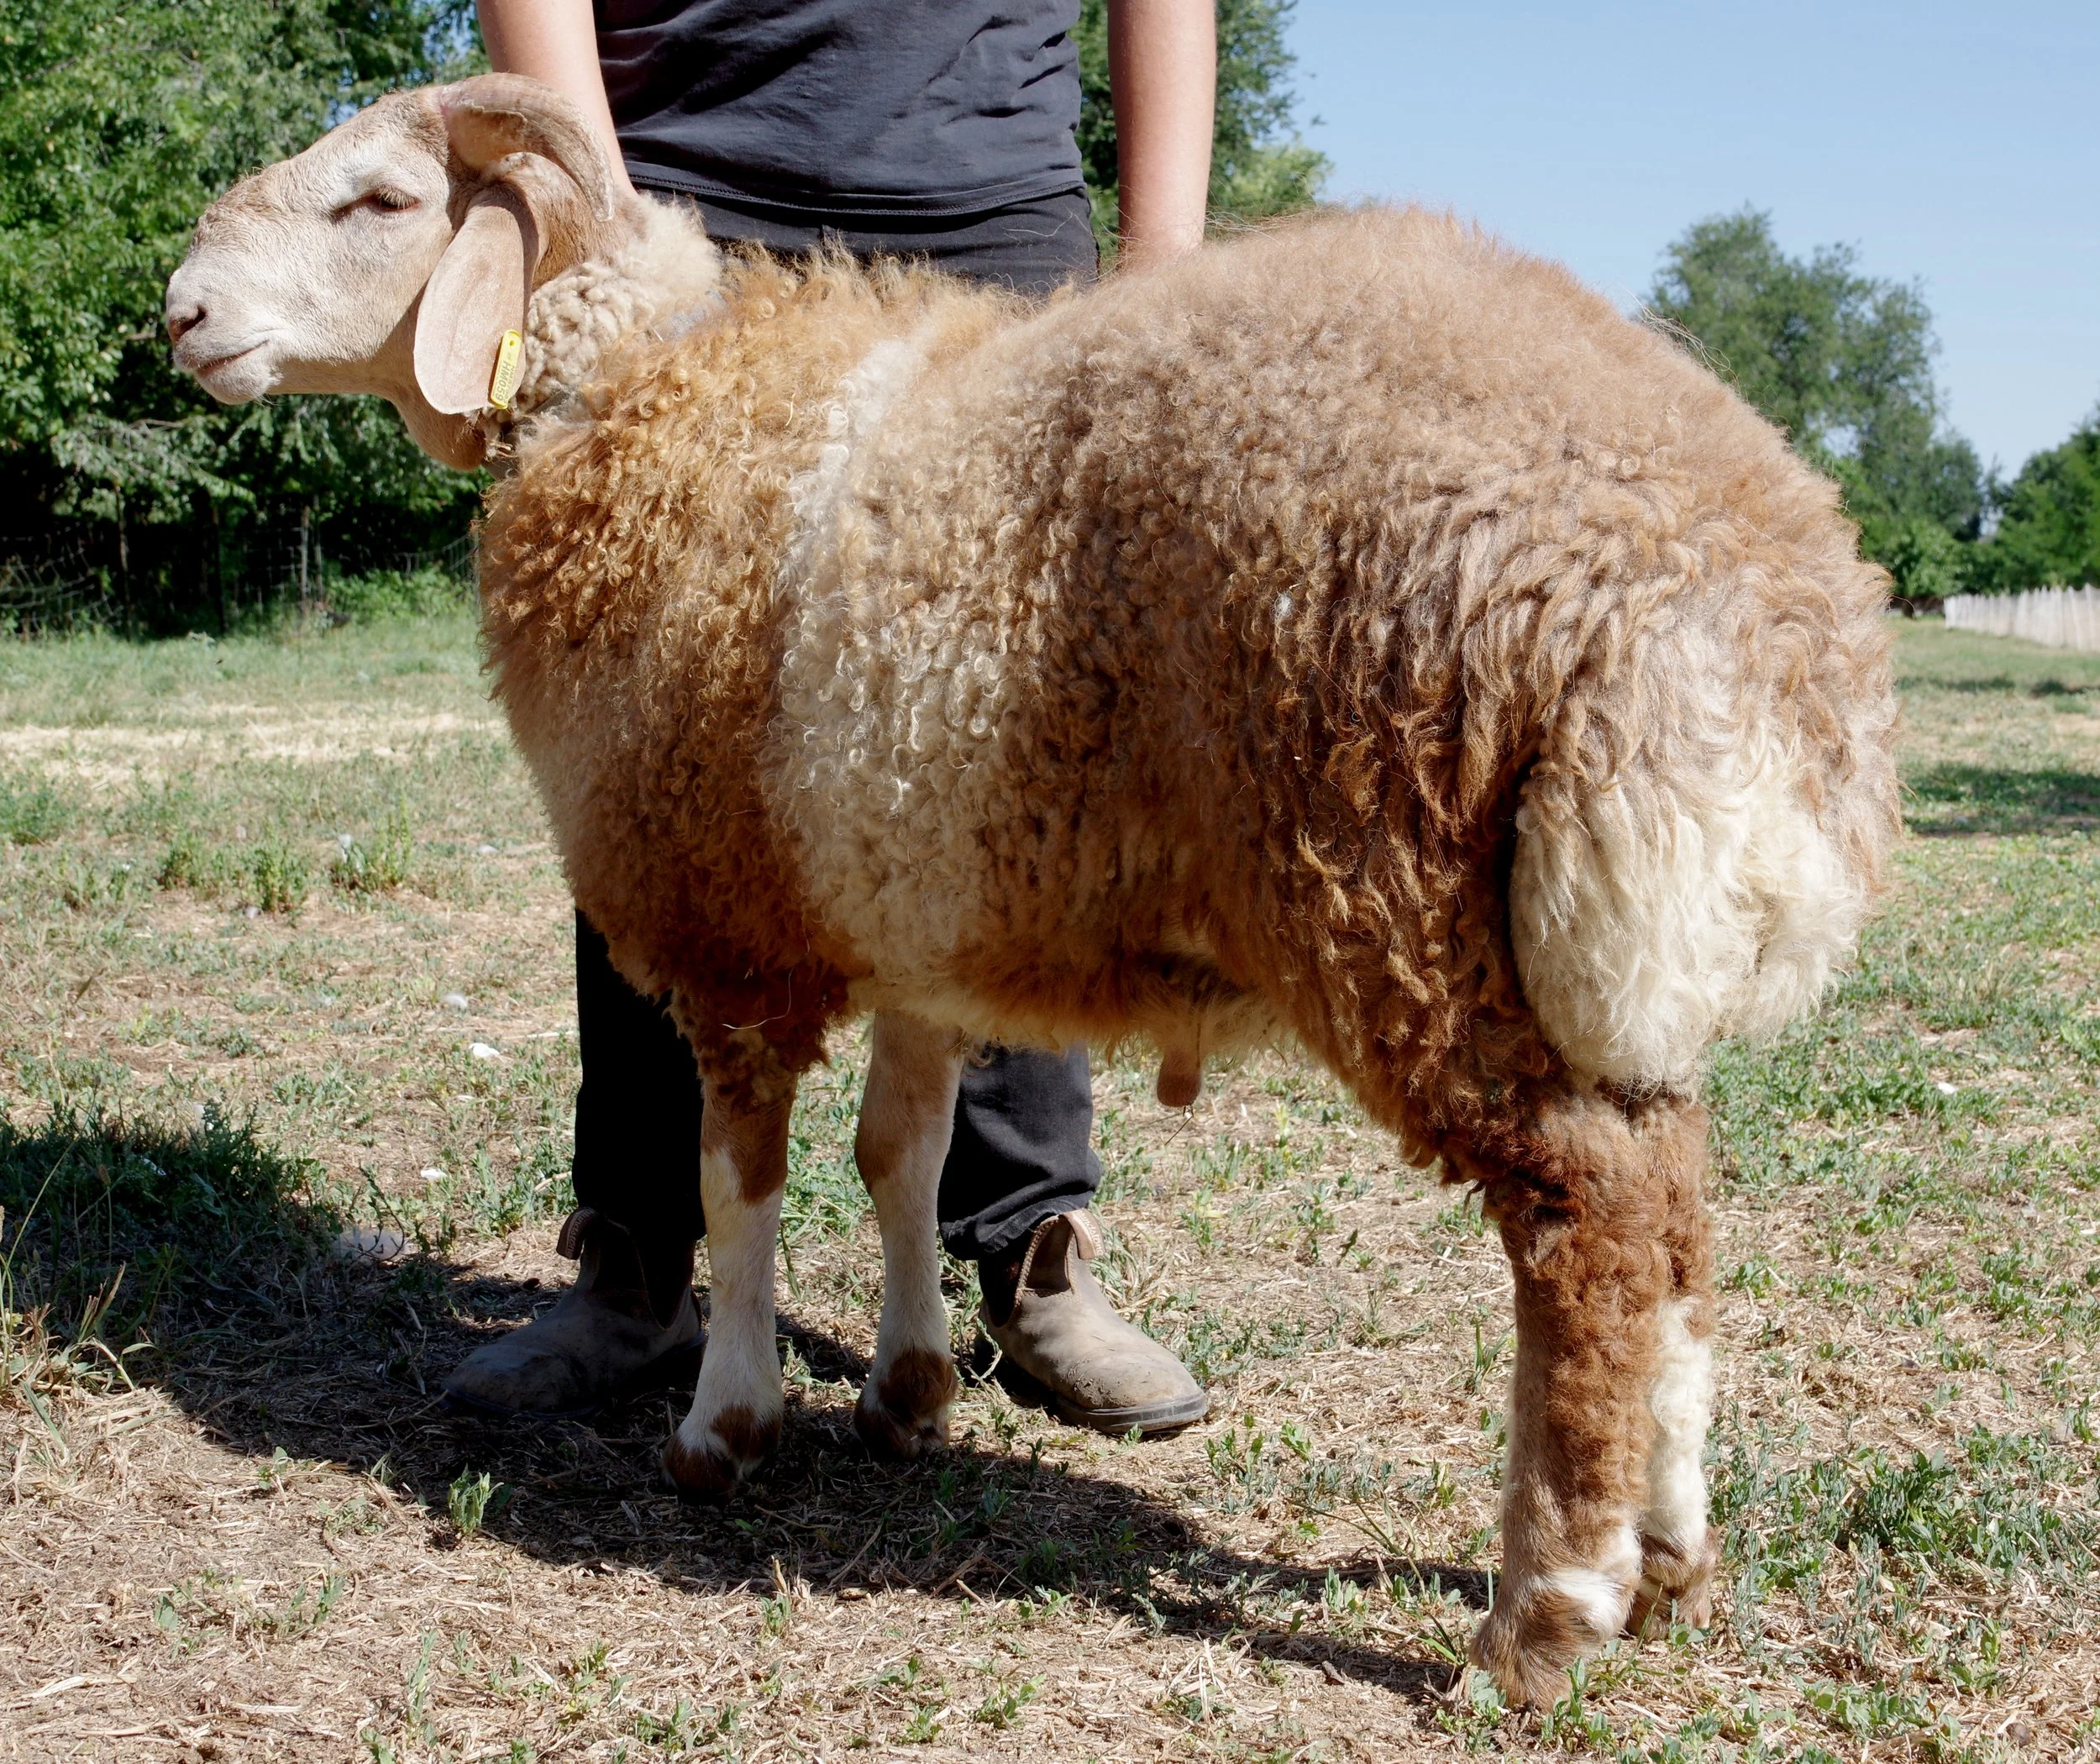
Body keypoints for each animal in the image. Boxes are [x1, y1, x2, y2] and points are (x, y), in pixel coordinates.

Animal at [167, 74, 1901, 1705]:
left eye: (377, 201)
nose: (181, 309)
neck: (640, 402)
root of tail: (1741, 591)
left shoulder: (730, 935)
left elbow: (742, 1188)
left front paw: (726, 1425)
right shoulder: (913, 923)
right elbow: (902, 1158)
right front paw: (910, 1388)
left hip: (1419, 920)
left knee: (1587, 1233)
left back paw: (1540, 1622)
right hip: (1589, 966)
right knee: (1672, 1210)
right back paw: (1670, 1557)